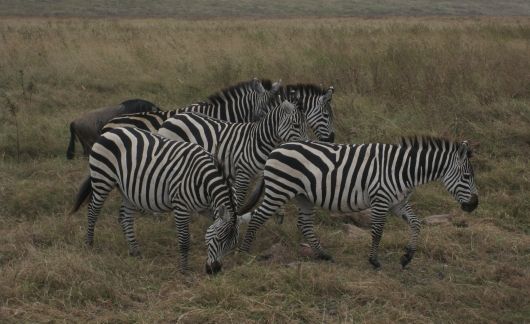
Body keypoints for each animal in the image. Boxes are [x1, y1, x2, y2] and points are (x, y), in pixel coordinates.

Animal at [69, 126, 238, 274]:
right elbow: (184, 240)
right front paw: (184, 270)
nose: (214, 271)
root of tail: (110, 131)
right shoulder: (181, 206)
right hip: (102, 179)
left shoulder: (207, 209)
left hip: (126, 189)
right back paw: (89, 243)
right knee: (93, 211)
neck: (203, 179)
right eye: (218, 239)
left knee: (125, 217)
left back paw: (135, 251)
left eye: (232, 245)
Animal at [157, 94, 306, 213]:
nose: (304, 144)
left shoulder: (259, 173)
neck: (257, 140)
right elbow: (239, 200)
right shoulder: (242, 174)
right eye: (296, 125)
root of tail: (173, 117)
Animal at [237, 137, 476, 268]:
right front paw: (374, 261)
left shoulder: (397, 203)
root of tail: (276, 149)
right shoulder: (380, 199)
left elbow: (416, 224)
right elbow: (377, 231)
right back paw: (244, 252)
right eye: (466, 177)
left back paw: (324, 255)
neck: (403, 170)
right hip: (279, 189)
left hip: (303, 196)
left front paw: (407, 257)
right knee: (257, 217)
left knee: (304, 225)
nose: (474, 205)